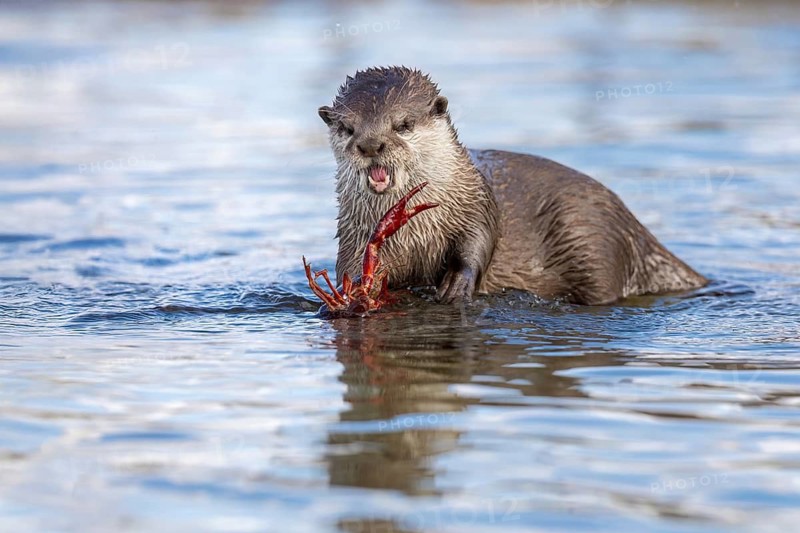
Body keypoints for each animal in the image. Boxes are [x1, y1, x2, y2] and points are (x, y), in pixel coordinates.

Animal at [318, 66, 707, 305]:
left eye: (403, 124)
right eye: (348, 128)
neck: (418, 229)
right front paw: (355, 290)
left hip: (591, 238)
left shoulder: (477, 204)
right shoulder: (353, 230)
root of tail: (635, 230)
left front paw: (456, 285)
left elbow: (477, 244)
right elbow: (350, 263)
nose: (371, 144)